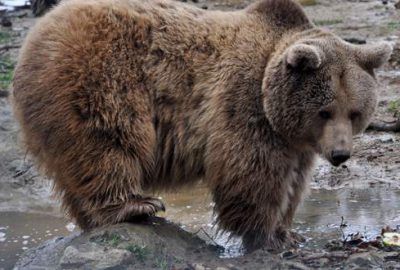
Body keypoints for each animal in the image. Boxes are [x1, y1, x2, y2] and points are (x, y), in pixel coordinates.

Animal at [11, 0, 390, 250]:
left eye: (355, 112)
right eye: (325, 111)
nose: (340, 154)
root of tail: (38, 32)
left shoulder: (296, 143)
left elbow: (294, 181)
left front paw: (288, 231)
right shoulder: (243, 102)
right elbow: (251, 170)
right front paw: (266, 234)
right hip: (100, 75)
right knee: (110, 139)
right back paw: (136, 204)